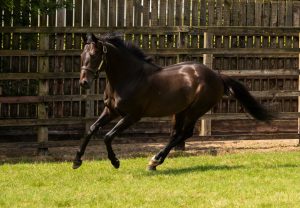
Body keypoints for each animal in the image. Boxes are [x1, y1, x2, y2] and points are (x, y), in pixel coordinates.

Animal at [73, 33, 274, 171]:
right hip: (180, 111)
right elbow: (91, 130)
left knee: (184, 134)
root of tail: (217, 76)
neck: (130, 77)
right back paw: (155, 163)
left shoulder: (132, 116)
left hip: (194, 111)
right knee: (176, 134)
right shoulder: (111, 111)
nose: (84, 83)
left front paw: (115, 162)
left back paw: (154, 160)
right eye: (82, 55)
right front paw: (76, 161)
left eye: (95, 55)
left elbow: (107, 136)